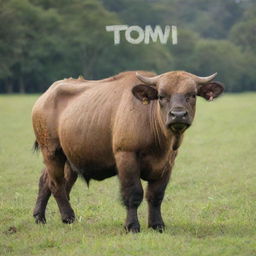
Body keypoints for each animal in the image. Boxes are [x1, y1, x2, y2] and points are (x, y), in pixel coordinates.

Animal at [32, 70, 224, 232]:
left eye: (191, 95)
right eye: (161, 96)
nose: (178, 115)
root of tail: (46, 95)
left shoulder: (167, 163)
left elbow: (156, 195)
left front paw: (157, 225)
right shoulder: (126, 157)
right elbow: (134, 193)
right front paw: (132, 226)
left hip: (70, 158)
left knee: (47, 181)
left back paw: (39, 217)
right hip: (51, 152)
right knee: (56, 184)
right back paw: (68, 217)